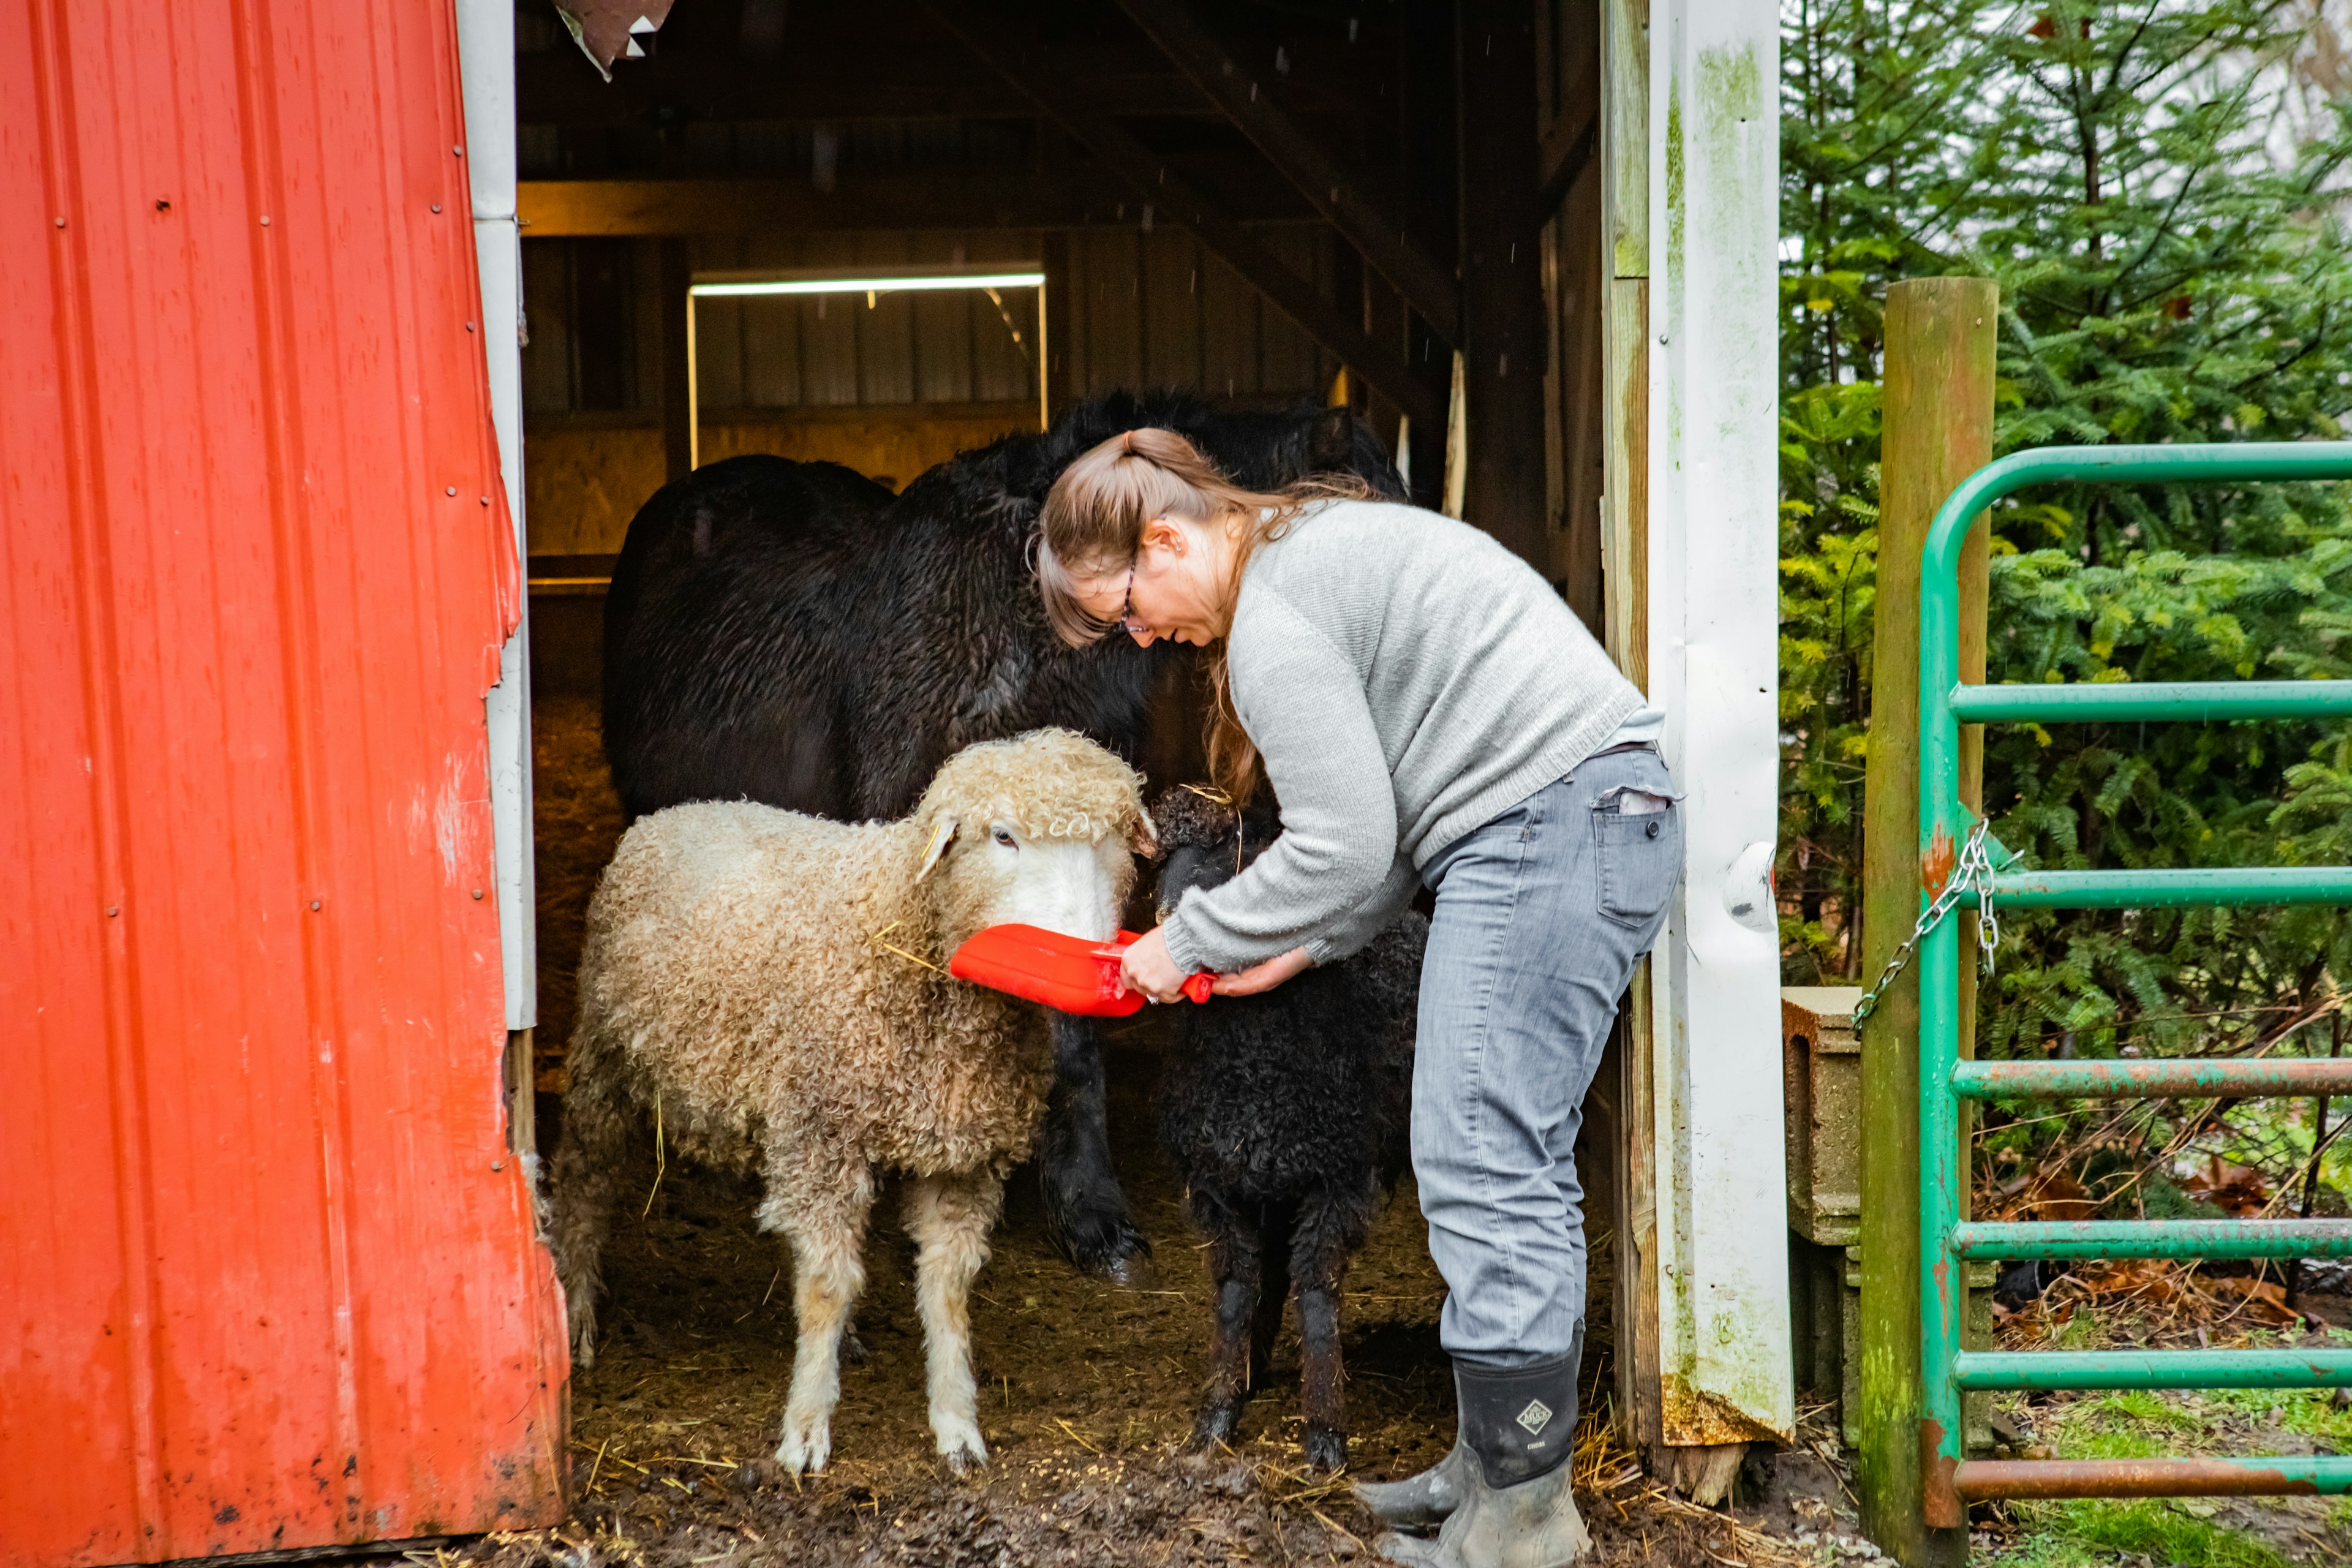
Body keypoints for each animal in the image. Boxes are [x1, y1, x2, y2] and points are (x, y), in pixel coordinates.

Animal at [541, 728, 1147, 1476]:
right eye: (1003, 836)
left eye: (1114, 840)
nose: (1085, 951)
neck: (894, 927)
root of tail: (686, 808)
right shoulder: (823, 1136)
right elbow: (826, 1289)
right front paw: (805, 1429)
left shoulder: (956, 1156)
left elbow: (945, 1294)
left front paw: (957, 1425)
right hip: (605, 1058)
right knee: (585, 1182)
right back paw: (578, 1312)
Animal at [1152, 785, 1420, 1476]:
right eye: (1159, 858)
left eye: (1233, 848)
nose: (1167, 914)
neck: (1252, 1067)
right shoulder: (1218, 1184)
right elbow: (1234, 1293)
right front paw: (1217, 1415)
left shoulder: (1336, 1180)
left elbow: (1319, 1297)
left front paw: (1325, 1434)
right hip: (1267, 1179)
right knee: (1269, 1268)